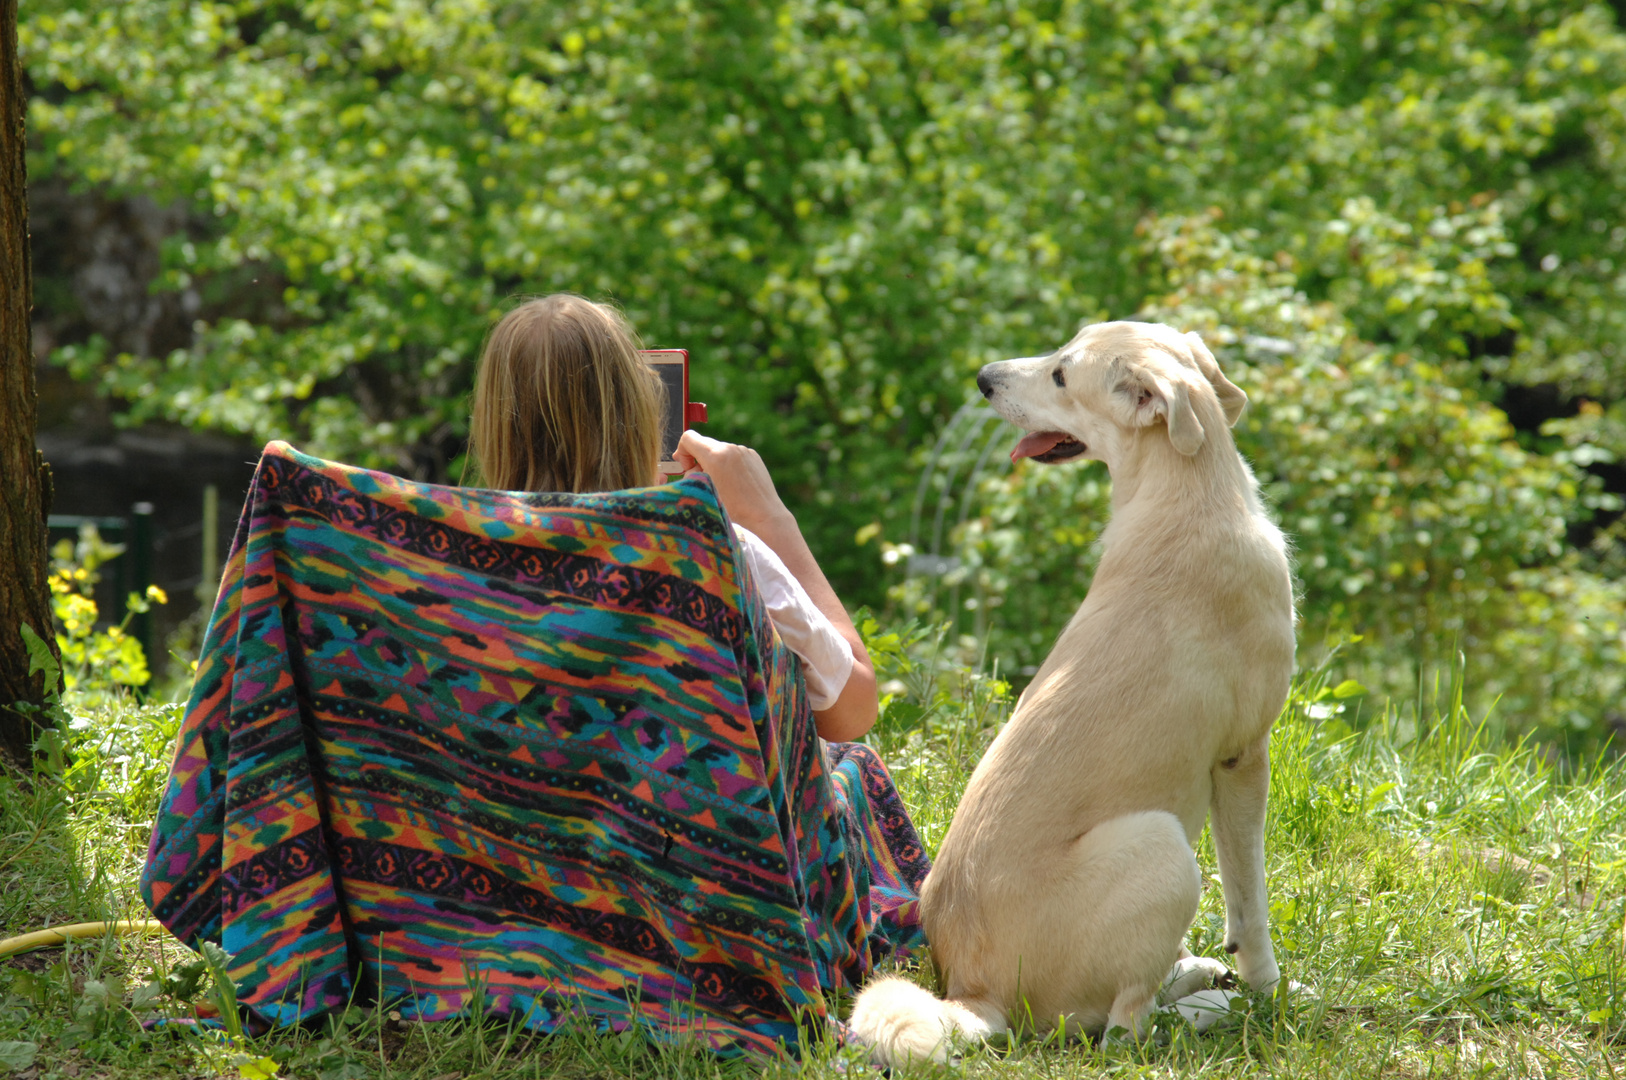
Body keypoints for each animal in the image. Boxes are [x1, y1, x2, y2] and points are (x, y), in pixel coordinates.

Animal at [852, 320, 1294, 1060]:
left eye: (1062, 372)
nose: (983, 378)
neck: (1188, 492)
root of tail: (970, 992)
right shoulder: (1242, 756)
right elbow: (1250, 902)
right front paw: (1270, 990)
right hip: (1162, 843)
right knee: (1126, 1031)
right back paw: (1215, 1004)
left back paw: (1195, 974)